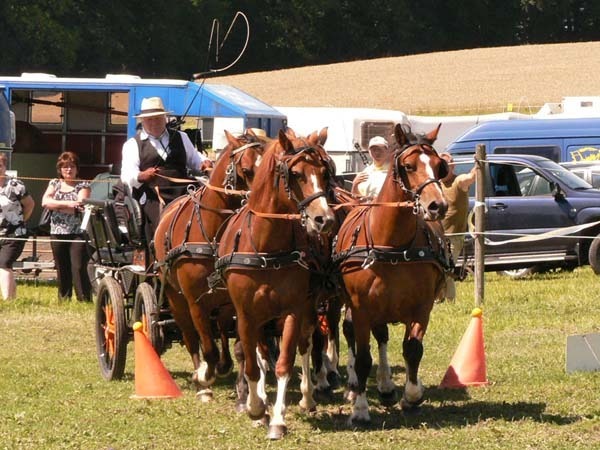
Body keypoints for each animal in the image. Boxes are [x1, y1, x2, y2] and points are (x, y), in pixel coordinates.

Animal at [153, 128, 266, 401]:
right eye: (246, 169)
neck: (215, 231)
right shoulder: (195, 301)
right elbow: (206, 345)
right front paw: (204, 376)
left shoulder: (235, 300)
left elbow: (238, 344)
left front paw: (240, 385)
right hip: (174, 296)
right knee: (190, 336)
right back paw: (201, 380)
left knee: (221, 327)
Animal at [215, 127, 336, 439]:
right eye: (296, 174)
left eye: (325, 172)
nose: (324, 219)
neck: (266, 247)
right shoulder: (246, 314)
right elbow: (252, 363)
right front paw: (256, 408)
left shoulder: (293, 310)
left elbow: (284, 363)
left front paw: (278, 420)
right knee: (259, 353)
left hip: (308, 306)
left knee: (305, 344)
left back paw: (307, 397)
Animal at [333, 123, 450, 424]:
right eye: (408, 166)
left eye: (439, 166)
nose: (438, 205)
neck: (392, 245)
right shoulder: (361, 308)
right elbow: (363, 358)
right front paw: (360, 409)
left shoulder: (422, 307)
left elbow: (413, 349)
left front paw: (412, 395)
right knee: (356, 336)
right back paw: (355, 386)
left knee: (383, 337)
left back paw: (386, 386)